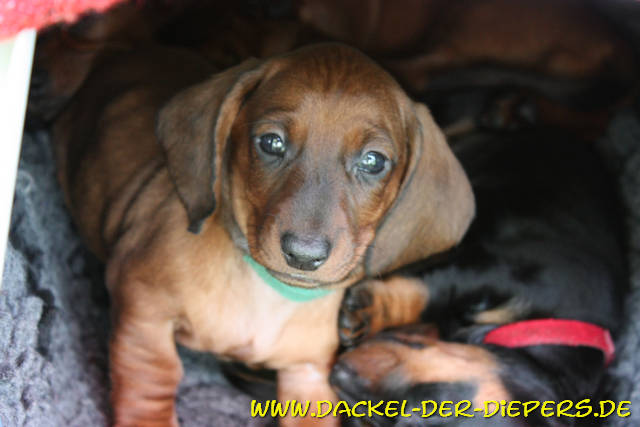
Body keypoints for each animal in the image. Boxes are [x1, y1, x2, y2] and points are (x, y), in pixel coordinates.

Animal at [48, 37, 474, 426]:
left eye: (373, 161)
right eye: (271, 142)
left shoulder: (307, 375)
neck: (264, 290)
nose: (304, 255)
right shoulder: (143, 309)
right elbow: (152, 377)